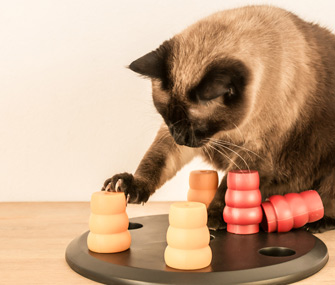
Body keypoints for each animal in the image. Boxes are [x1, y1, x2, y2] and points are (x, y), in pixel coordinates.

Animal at [102, 5, 335, 232]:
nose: (180, 138)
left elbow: (227, 189)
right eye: (167, 117)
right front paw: (128, 186)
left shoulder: (253, 151)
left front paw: (214, 218)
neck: (227, 132)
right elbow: (154, 162)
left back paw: (318, 222)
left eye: (197, 125)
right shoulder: (172, 142)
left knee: (326, 199)